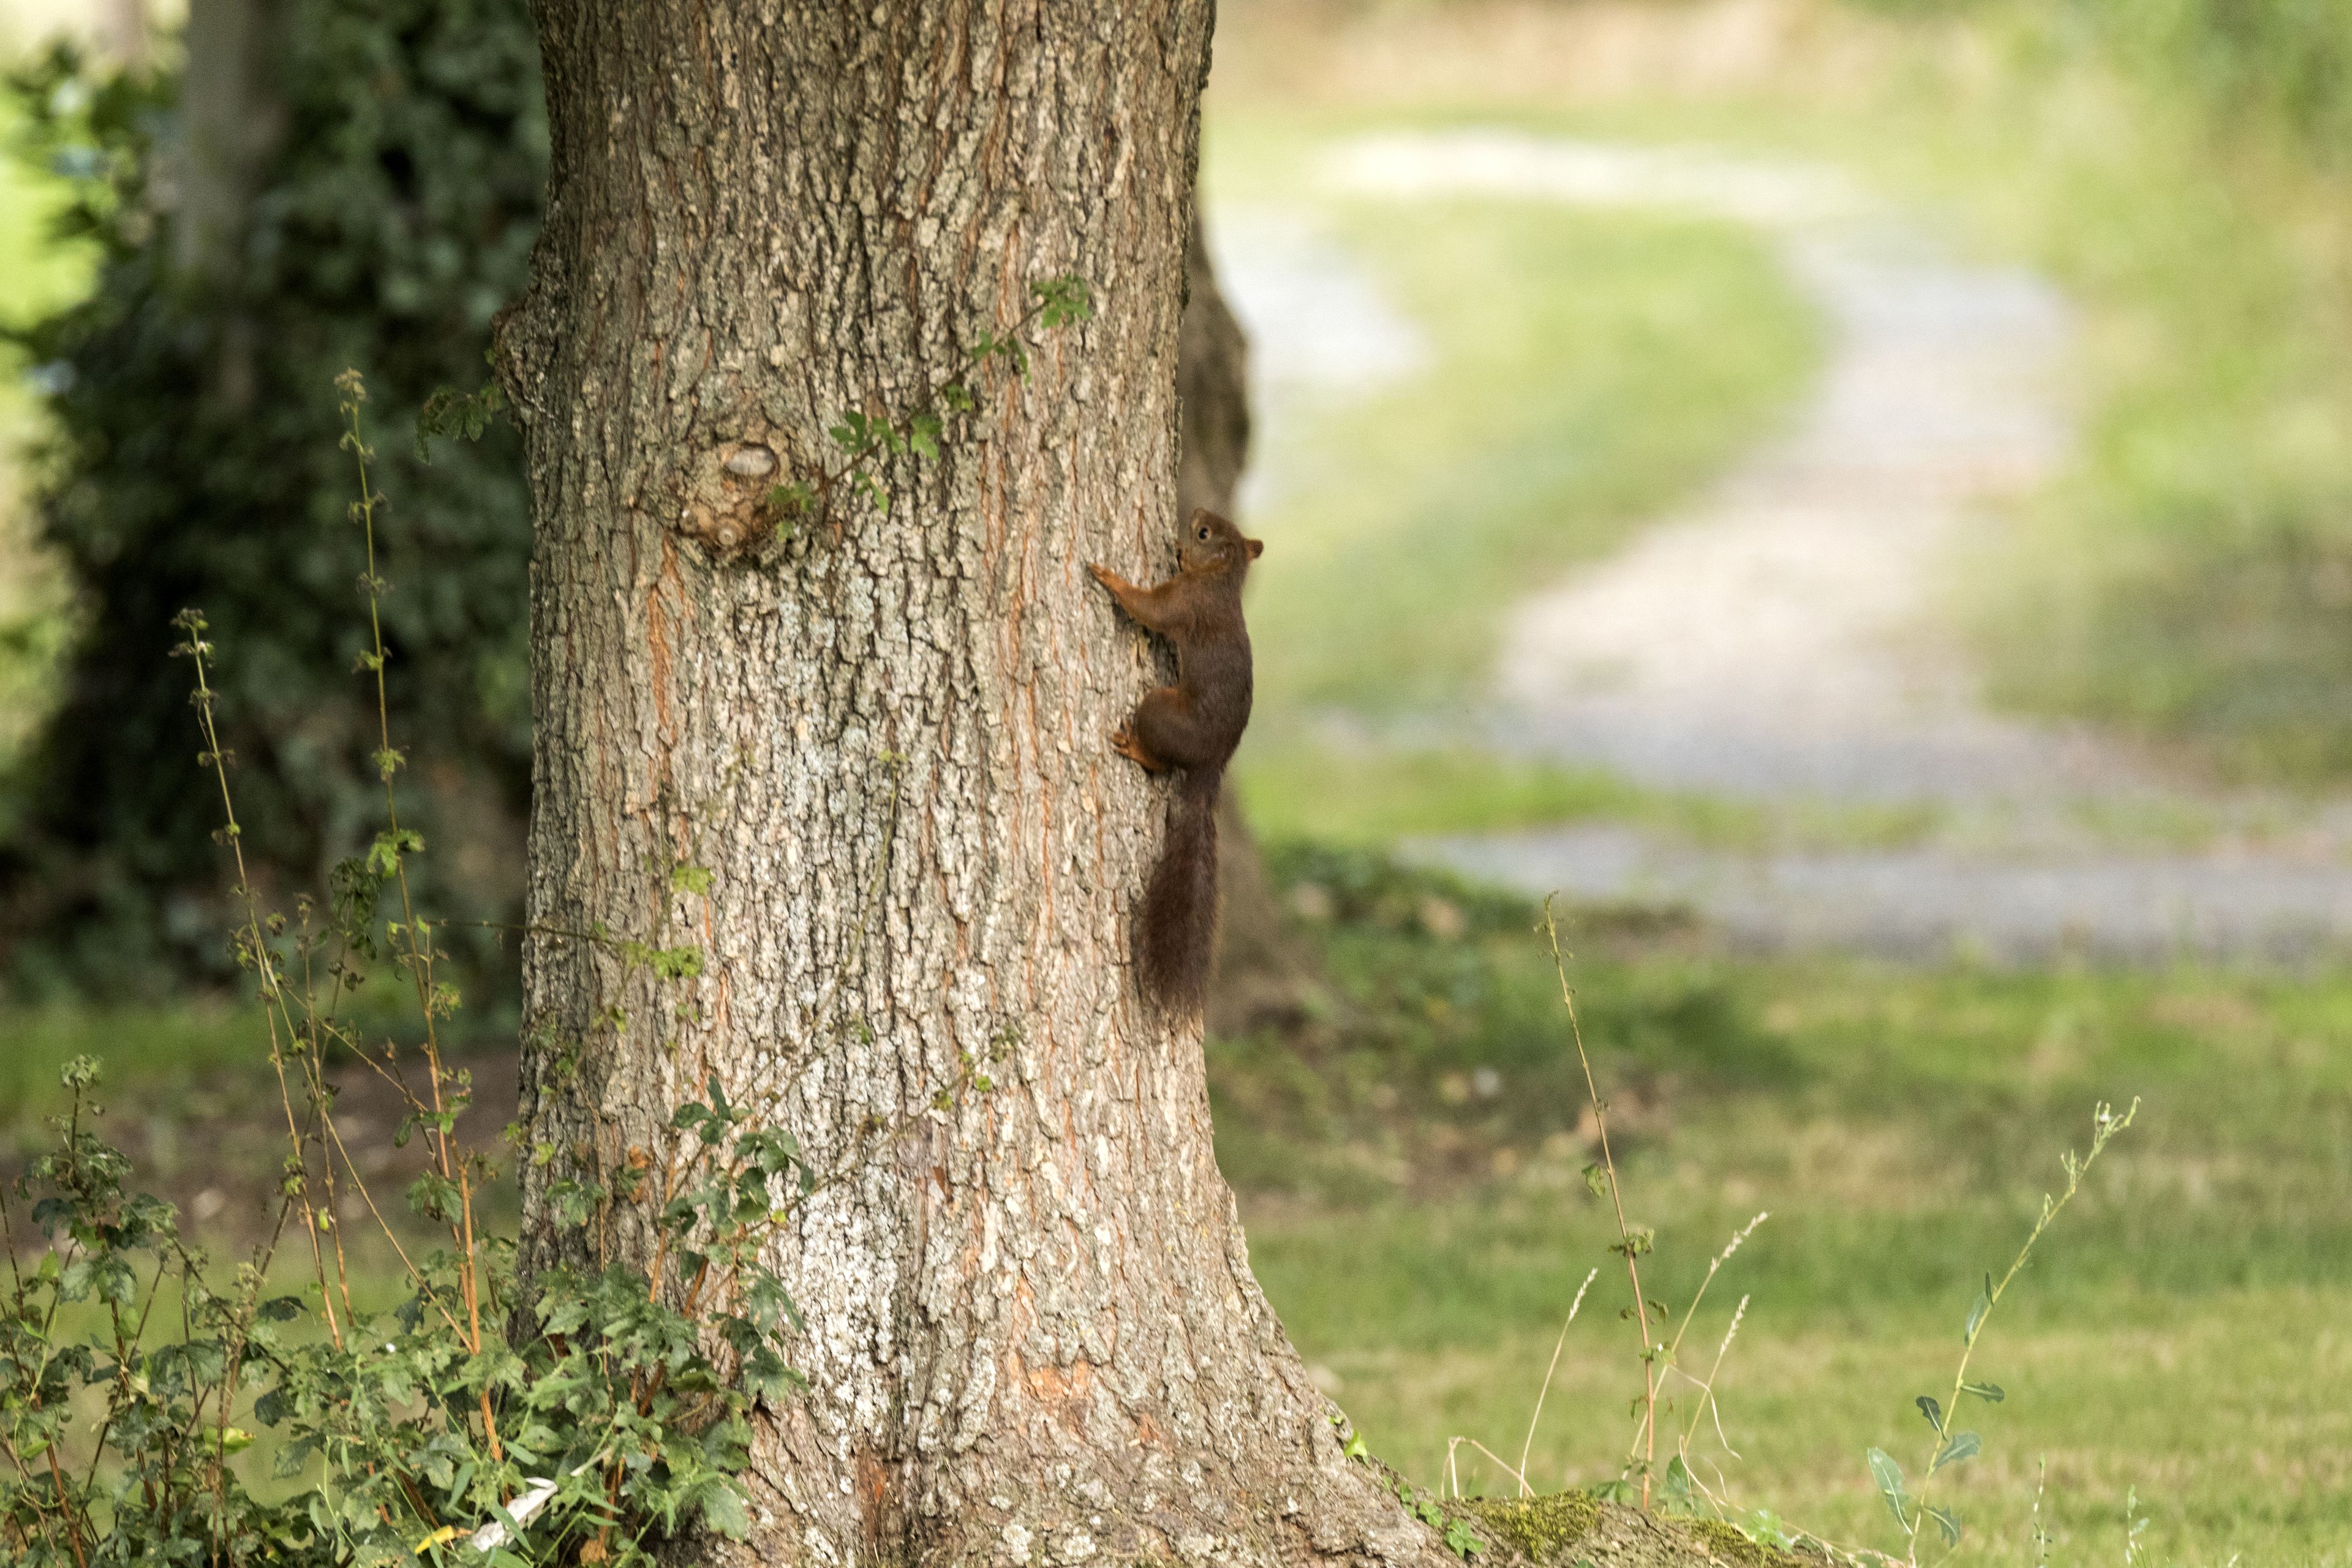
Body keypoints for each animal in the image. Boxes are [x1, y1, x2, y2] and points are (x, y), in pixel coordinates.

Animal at [1089, 508, 1265, 1017]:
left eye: (1205, 533)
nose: (1197, 514)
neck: (1219, 581)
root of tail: (1212, 764)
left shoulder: (1186, 603)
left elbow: (1150, 610)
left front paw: (1110, 578)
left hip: (1157, 710)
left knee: (1162, 764)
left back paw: (1136, 748)